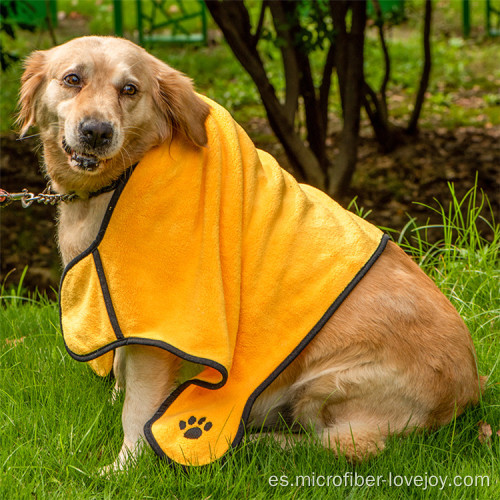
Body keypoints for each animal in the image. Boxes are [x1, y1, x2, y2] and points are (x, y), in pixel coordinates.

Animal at [16, 37, 484, 470]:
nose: (97, 131)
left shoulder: (163, 328)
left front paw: (123, 468)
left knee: (344, 445)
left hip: (326, 383)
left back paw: (250, 441)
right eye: (72, 79)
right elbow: (121, 365)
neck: (120, 180)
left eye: (129, 89)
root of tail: (471, 386)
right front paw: (115, 401)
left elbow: (138, 408)